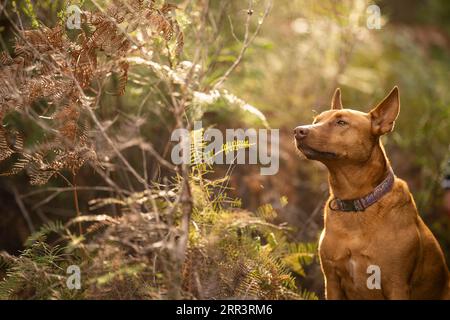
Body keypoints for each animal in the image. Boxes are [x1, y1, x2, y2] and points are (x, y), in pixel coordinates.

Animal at [294, 86, 448, 298]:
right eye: (316, 121)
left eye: (341, 122)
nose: (297, 131)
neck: (355, 201)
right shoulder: (331, 281)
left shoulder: (397, 285)